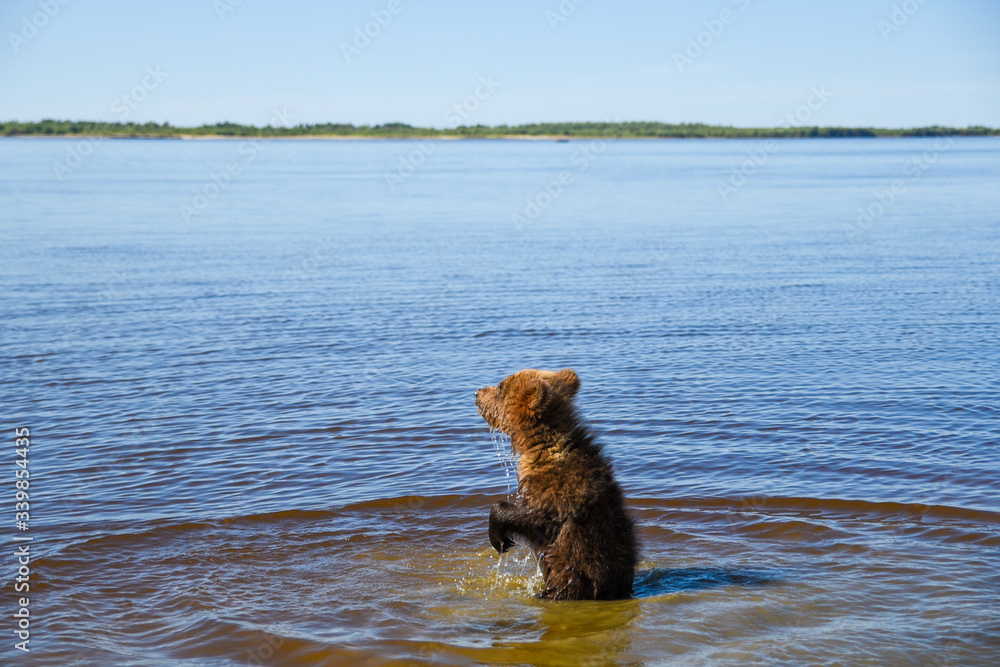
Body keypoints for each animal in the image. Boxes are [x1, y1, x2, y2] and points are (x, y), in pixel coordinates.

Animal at [475, 368, 637, 600]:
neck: (541, 447)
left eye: (500, 388)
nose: (477, 393)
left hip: (573, 575)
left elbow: (535, 518)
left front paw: (499, 538)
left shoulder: (555, 492)